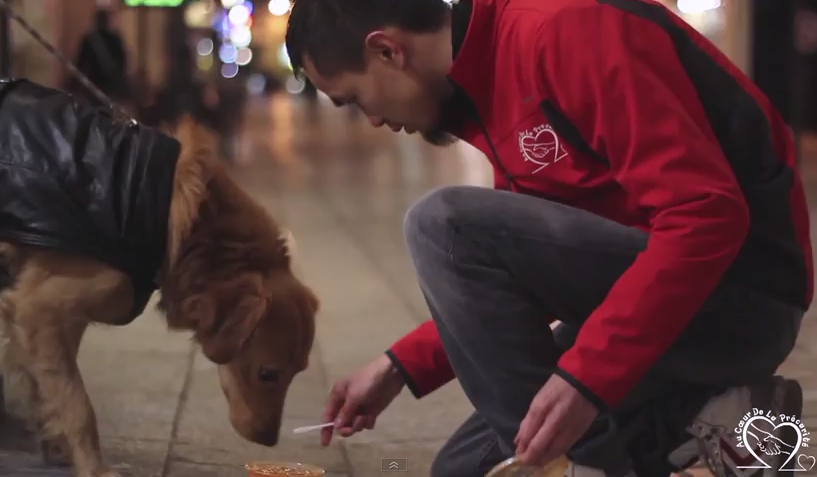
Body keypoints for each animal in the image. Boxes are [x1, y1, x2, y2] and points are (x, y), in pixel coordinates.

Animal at [0, 107, 316, 472]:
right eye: (268, 374)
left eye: (299, 372)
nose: (269, 440)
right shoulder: (38, 308)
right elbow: (78, 403)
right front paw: (95, 469)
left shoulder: (53, 317)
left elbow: (49, 385)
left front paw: (56, 444)